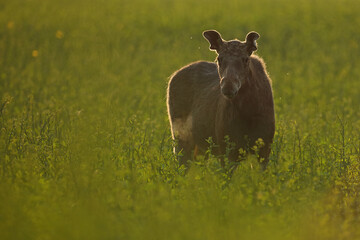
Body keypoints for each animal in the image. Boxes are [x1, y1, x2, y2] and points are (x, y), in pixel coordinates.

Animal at [167, 30, 276, 170]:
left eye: (246, 59)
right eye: (219, 59)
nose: (228, 86)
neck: (248, 109)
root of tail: (173, 76)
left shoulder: (265, 148)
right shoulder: (226, 148)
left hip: (200, 148)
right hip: (180, 136)